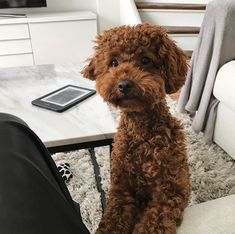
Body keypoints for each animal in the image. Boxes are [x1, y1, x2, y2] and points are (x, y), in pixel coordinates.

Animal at [82, 24, 191, 234]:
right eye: (114, 62)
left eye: (145, 60)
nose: (124, 84)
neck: (142, 133)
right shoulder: (122, 189)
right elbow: (113, 220)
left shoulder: (170, 190)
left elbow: (154, 223)